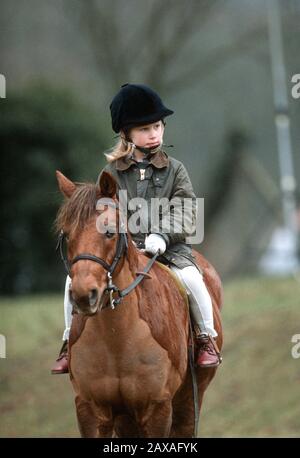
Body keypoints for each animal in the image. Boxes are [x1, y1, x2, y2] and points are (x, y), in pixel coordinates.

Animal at [54, 170, 223, 438]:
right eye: (67, 235)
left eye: (109, 232)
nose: (83, 295)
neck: (116, 337)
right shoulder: (90, 409)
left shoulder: (157, 408)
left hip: (188, 400)